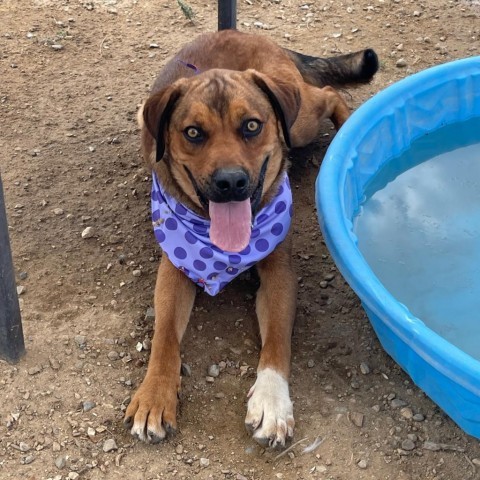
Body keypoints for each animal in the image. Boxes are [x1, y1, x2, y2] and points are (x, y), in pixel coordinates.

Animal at [124, 28, 378, 448]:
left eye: (252, 126)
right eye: (193, 133)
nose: (230, 182)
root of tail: (240, 31)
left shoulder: (279, 274)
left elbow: (276, 341)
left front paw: (272, 401)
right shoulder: (175, 270)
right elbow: (164, 338)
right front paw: (155, 394)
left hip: (301, 121)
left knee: (328, 93)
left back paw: (349, 129)